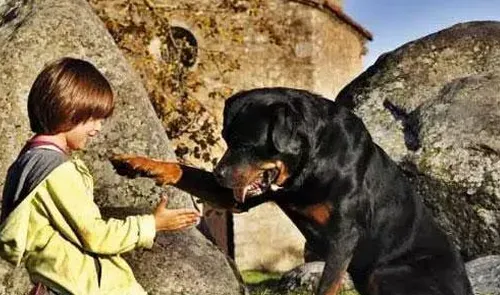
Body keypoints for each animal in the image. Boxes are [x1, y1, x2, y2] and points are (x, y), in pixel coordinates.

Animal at [110, 86, 472, 294]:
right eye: (227, 139)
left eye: (248, 144)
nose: (221, 175)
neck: (310, 163)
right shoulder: (241, 197)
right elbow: (183, 170)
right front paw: (139, 163)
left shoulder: (344, 237)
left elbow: (327, 285)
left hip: (389, 271)